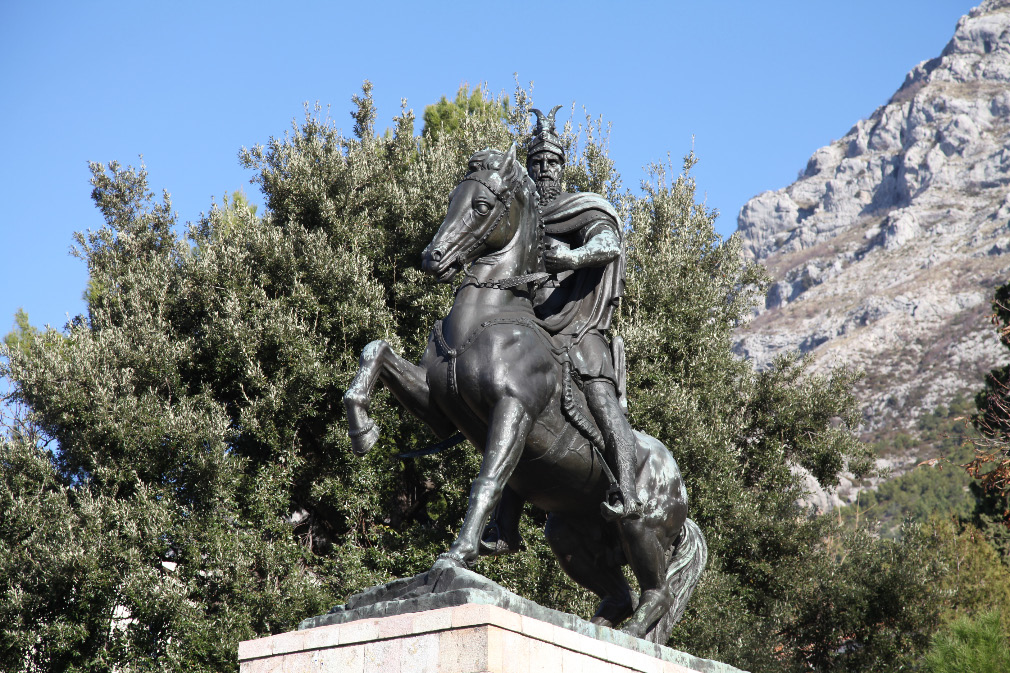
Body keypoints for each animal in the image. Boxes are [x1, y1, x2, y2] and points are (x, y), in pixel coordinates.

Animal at [343, 142, 707, 638]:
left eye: (481, 206)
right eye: (451, 200)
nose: (432, 257)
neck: (484, 319)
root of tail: (680, 487)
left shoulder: (513, 409)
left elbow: (488, 481)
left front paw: (455, 556)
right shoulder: (438, 407)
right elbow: (375, 350)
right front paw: (362, 429)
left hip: (640, 529)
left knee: (657, 593)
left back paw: (630, 635)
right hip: (570, 535)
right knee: (621, 594)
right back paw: (591, 626)